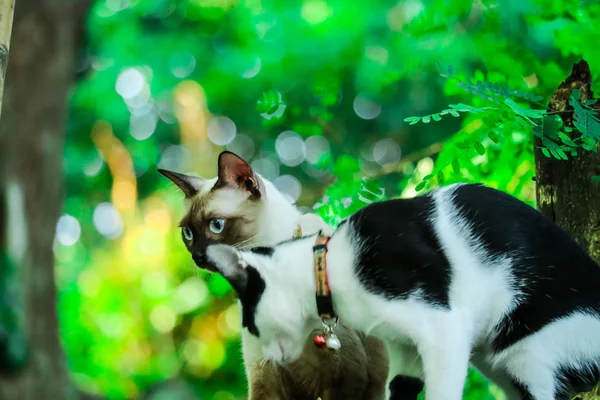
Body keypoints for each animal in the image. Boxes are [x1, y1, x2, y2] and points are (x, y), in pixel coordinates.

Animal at [203, 184, 600, 400]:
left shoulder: (443, 327)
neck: (330, 266)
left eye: (251, 327)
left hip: (528, 353)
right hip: (494, 362)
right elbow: (402, 384)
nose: (269, 357)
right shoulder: (403, 346)